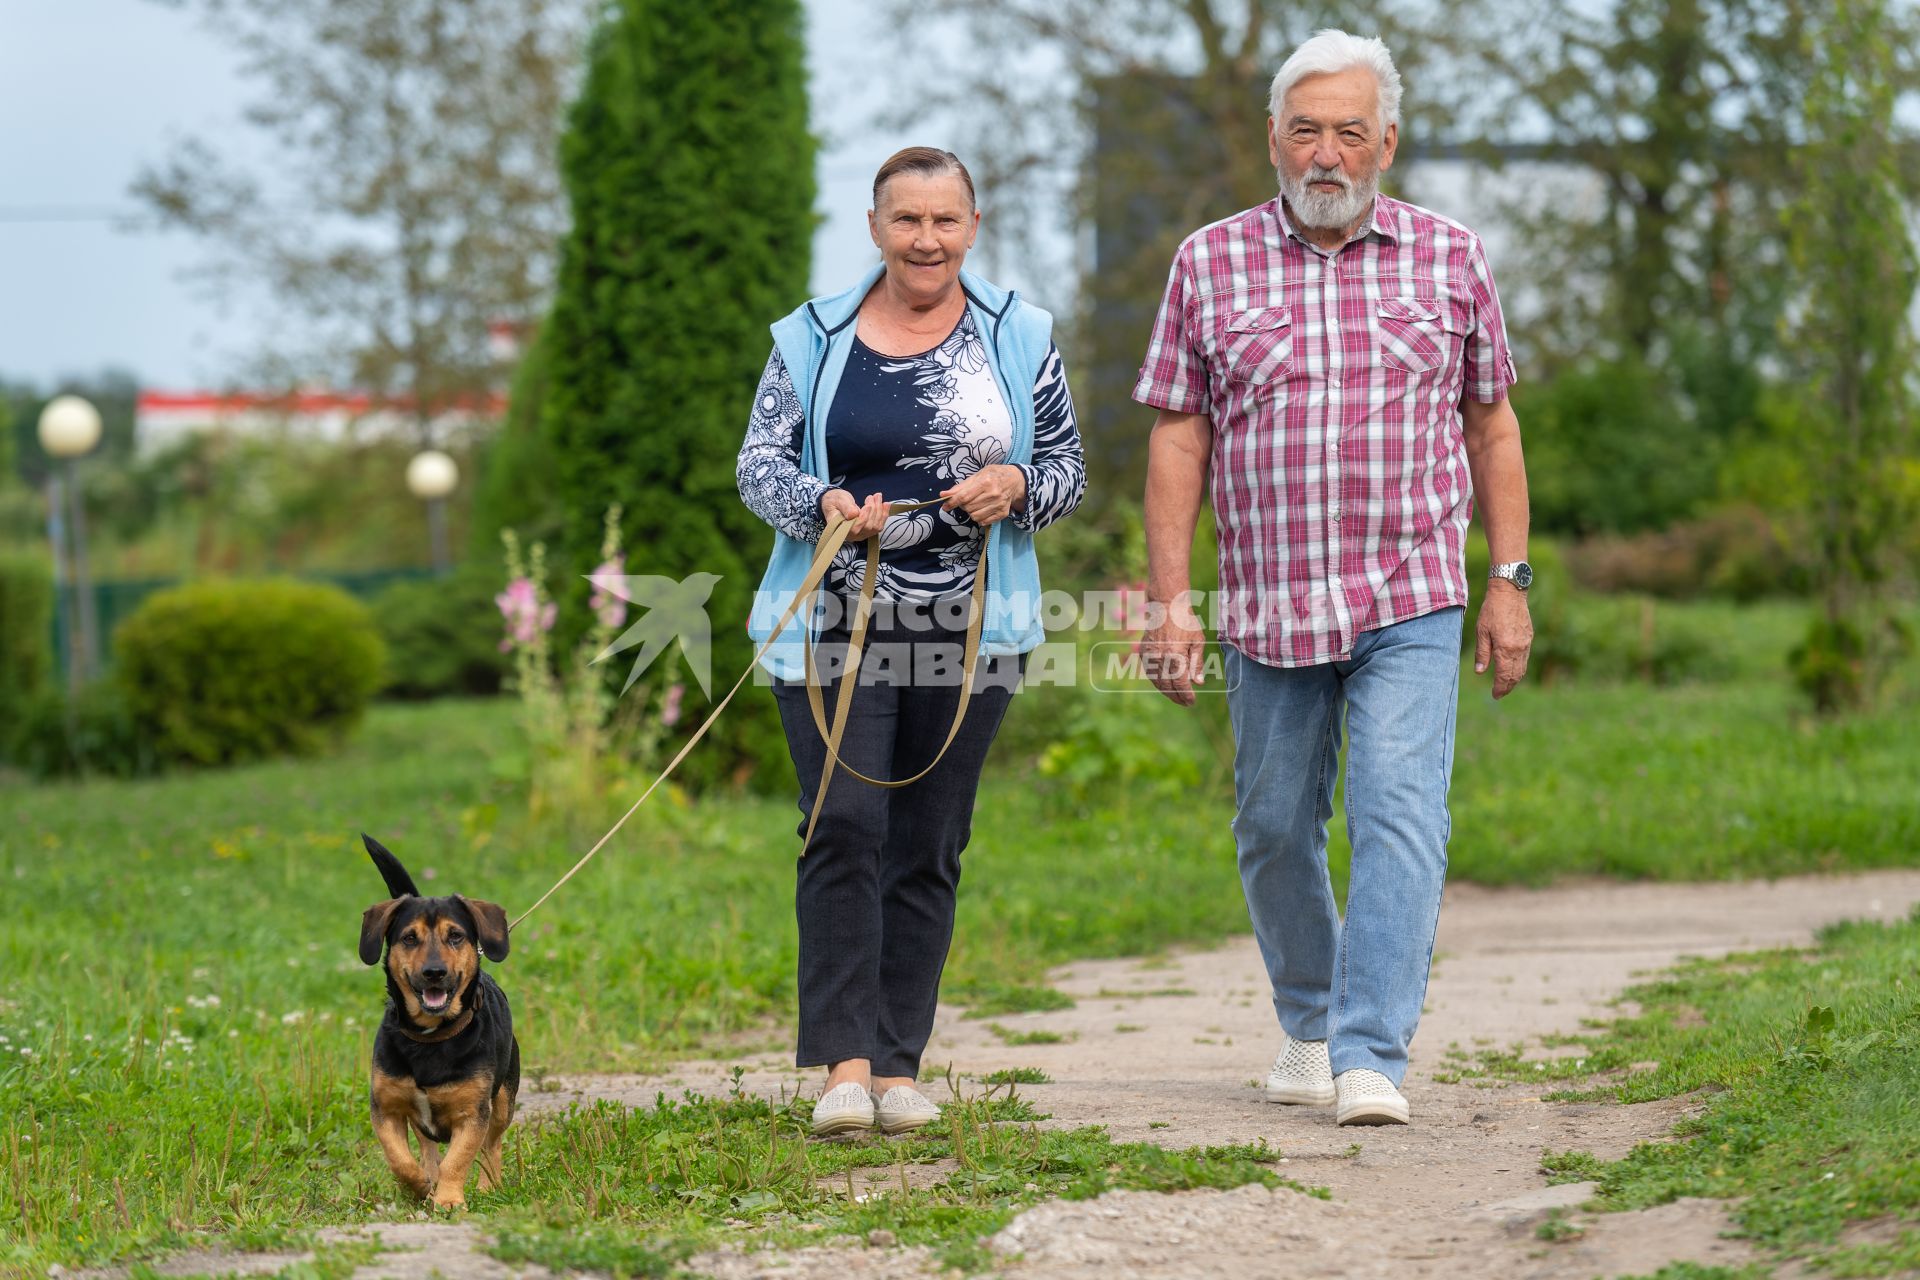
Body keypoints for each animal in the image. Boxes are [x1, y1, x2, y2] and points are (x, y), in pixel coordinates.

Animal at [357, 836, 522, 1205]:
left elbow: (458, 1159)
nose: (435, 972)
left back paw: (490, 1186)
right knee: (427, 1146)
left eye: (456, 936)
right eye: (409, 938)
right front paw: (418, 1185)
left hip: (503, 1099)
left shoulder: (473, 1114)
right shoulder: (386, 1108)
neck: (431, 1036)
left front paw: (448, 1199)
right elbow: (399, 1158)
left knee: (492, 1145)